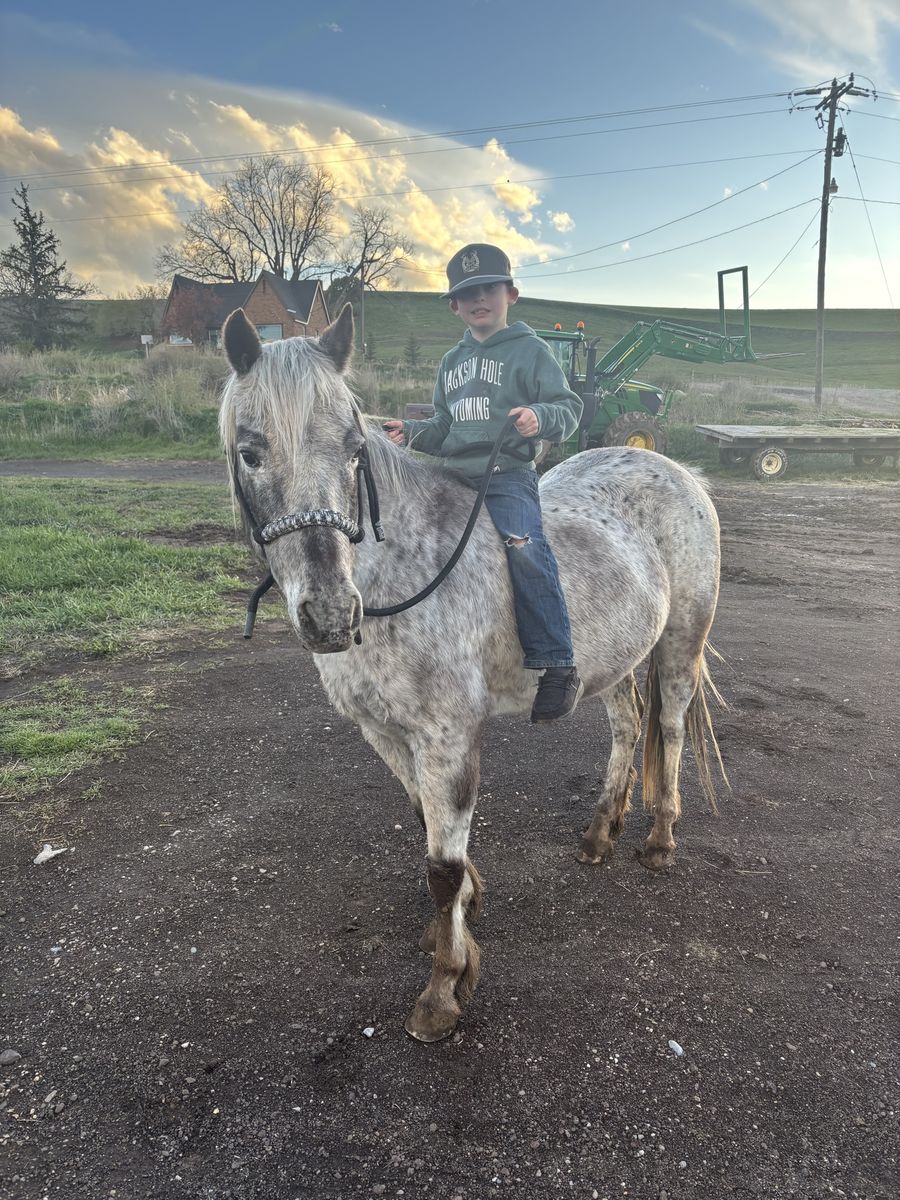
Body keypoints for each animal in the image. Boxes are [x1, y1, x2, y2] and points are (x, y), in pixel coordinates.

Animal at [218, 304, 726, 1043]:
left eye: (353, 449)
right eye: (250, 452)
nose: (331, 613)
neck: (399, 574)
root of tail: (674, 467)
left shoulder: (448, 737)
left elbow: (441, 865)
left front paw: (444, 988)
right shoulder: (383, 732)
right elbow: (424, 823)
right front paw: (463, 914)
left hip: (681, 641)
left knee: (674, 728)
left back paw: (660, 840)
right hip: (615, 662)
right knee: (630, 728)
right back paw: (600, 831)